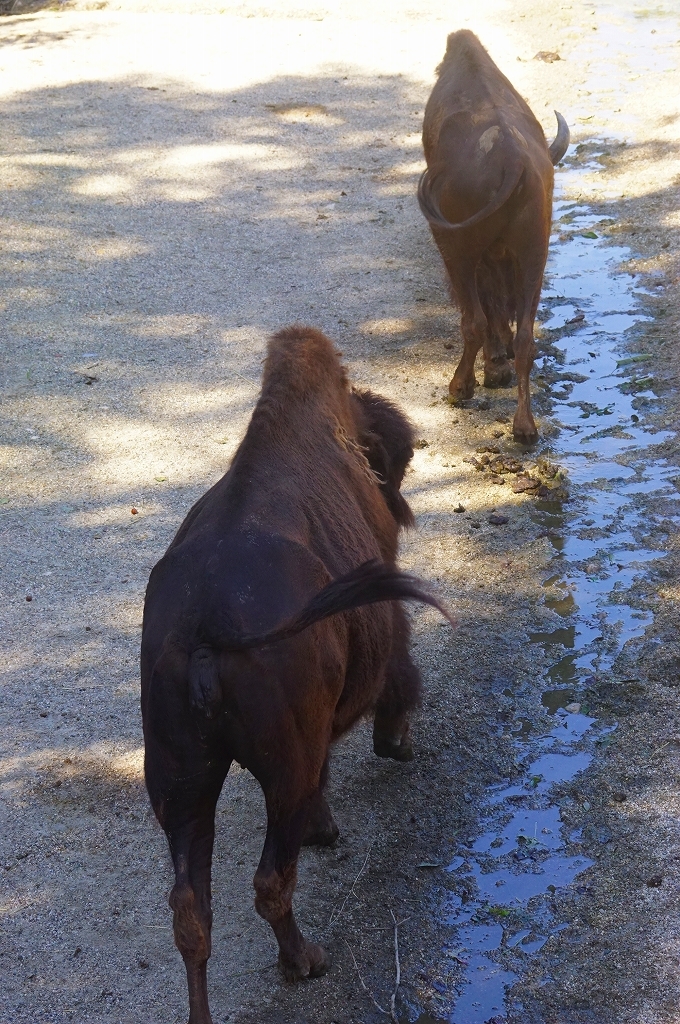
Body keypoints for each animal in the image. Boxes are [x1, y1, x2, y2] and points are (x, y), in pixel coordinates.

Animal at [140, 323, 450, 1019]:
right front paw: (395, 746)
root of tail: (205, 627)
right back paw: (305, 959)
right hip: (276, 770)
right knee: (271, 878)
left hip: (181, 781)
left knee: (190, 911)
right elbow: (395, 679)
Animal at [419, 28, 569, 442]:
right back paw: (525, 428)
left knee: (474, 320)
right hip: (534, 252)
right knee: (526, 338)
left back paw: (460, 388)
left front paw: (490, 371)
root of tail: (512, 159)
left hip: (458, 249)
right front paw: (499, 367)